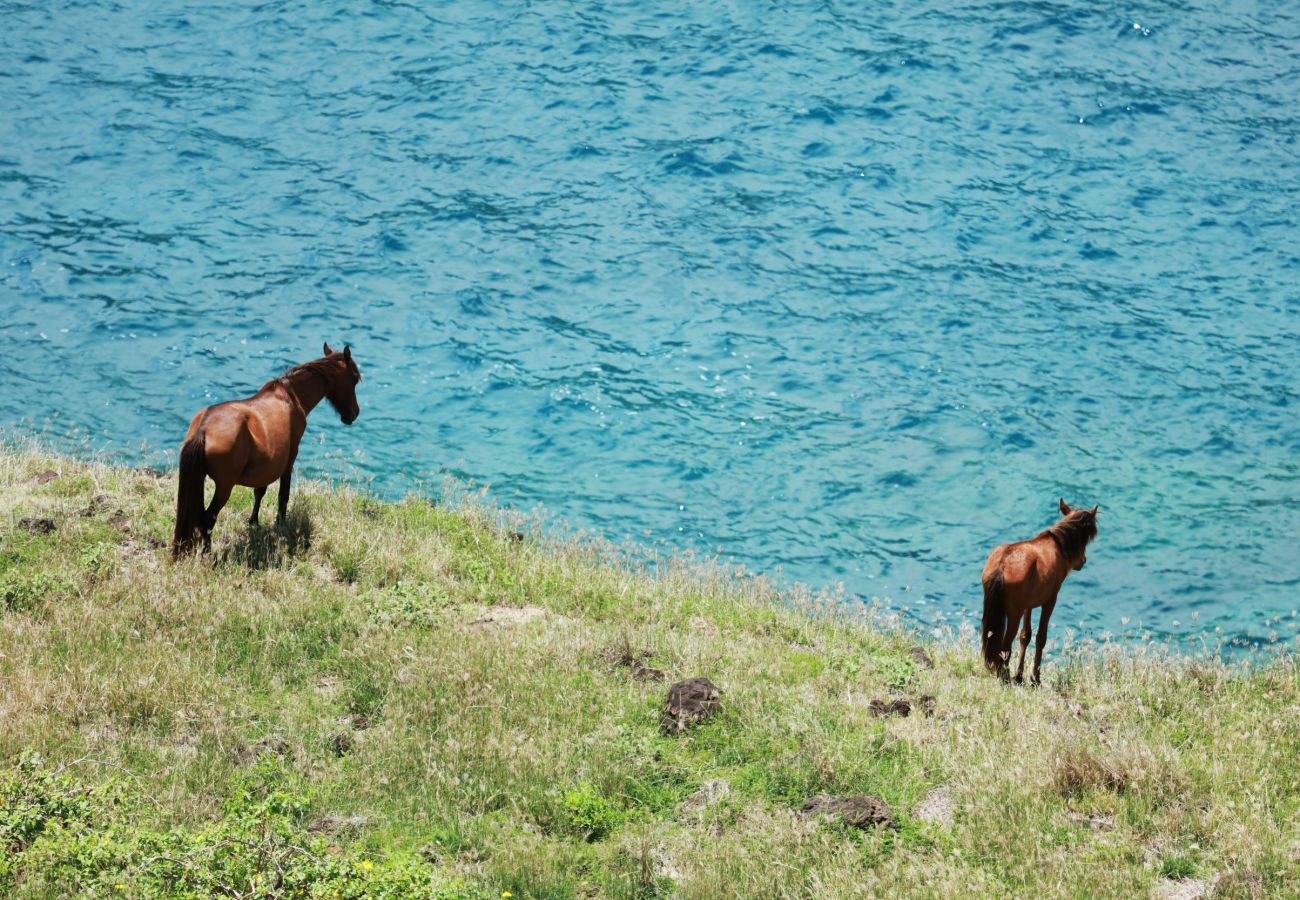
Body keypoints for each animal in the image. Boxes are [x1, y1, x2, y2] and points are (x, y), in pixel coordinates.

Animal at [172, 343, 364, 556]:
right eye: (354, 378)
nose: (354, 413)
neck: (290, 396)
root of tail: (203, 430)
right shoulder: (289, 458)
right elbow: (283, 495)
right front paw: (281, 525)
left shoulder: (266, 465)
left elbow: (259, 491)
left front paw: (254, 522)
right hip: (224, 486)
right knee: (207, 519)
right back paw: (209, 555)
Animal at [982, 499, 1097, 681]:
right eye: (1086, 537)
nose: (1082, 561)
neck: (1058, 546)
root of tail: (1001, 566)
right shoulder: (1050, 600)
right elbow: (1040, 638)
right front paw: (1035, 677)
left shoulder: (1028, 605)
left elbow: (1025, 635)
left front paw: (1019, 675)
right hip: (1014, 612)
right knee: (1005, 646)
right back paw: (1005, 677)